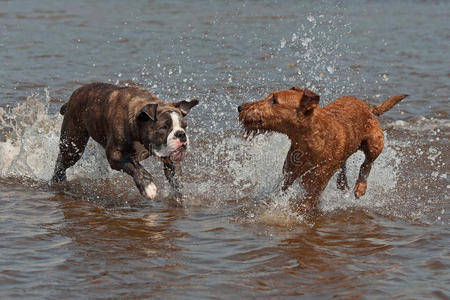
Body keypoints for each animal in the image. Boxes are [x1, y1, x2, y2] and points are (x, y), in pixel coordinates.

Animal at [239, 86, 408, 213]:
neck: (307, 142)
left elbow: (305, 204)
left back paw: (360, 188)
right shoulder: (289, 174)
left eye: (274, 100)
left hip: (375, 142)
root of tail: (368, 106)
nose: (240, 107)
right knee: (344, 165)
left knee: (367, 164)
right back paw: (342, 183)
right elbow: (281, 190)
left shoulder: (315, 184)